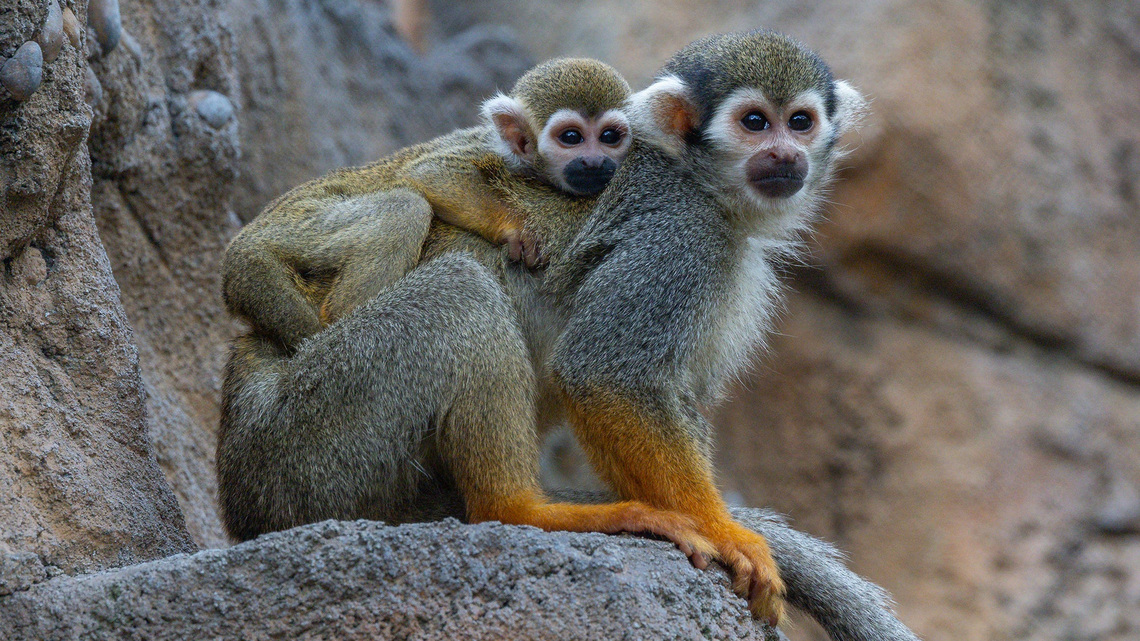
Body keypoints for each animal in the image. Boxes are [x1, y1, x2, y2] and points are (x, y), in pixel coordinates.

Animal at [221, 57, 633, 353]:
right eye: (572, 137)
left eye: (610, 137)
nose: (595, 163)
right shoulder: (488, 150)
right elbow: (431, 172)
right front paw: (516, 231)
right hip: (298, 224)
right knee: (404, 208)